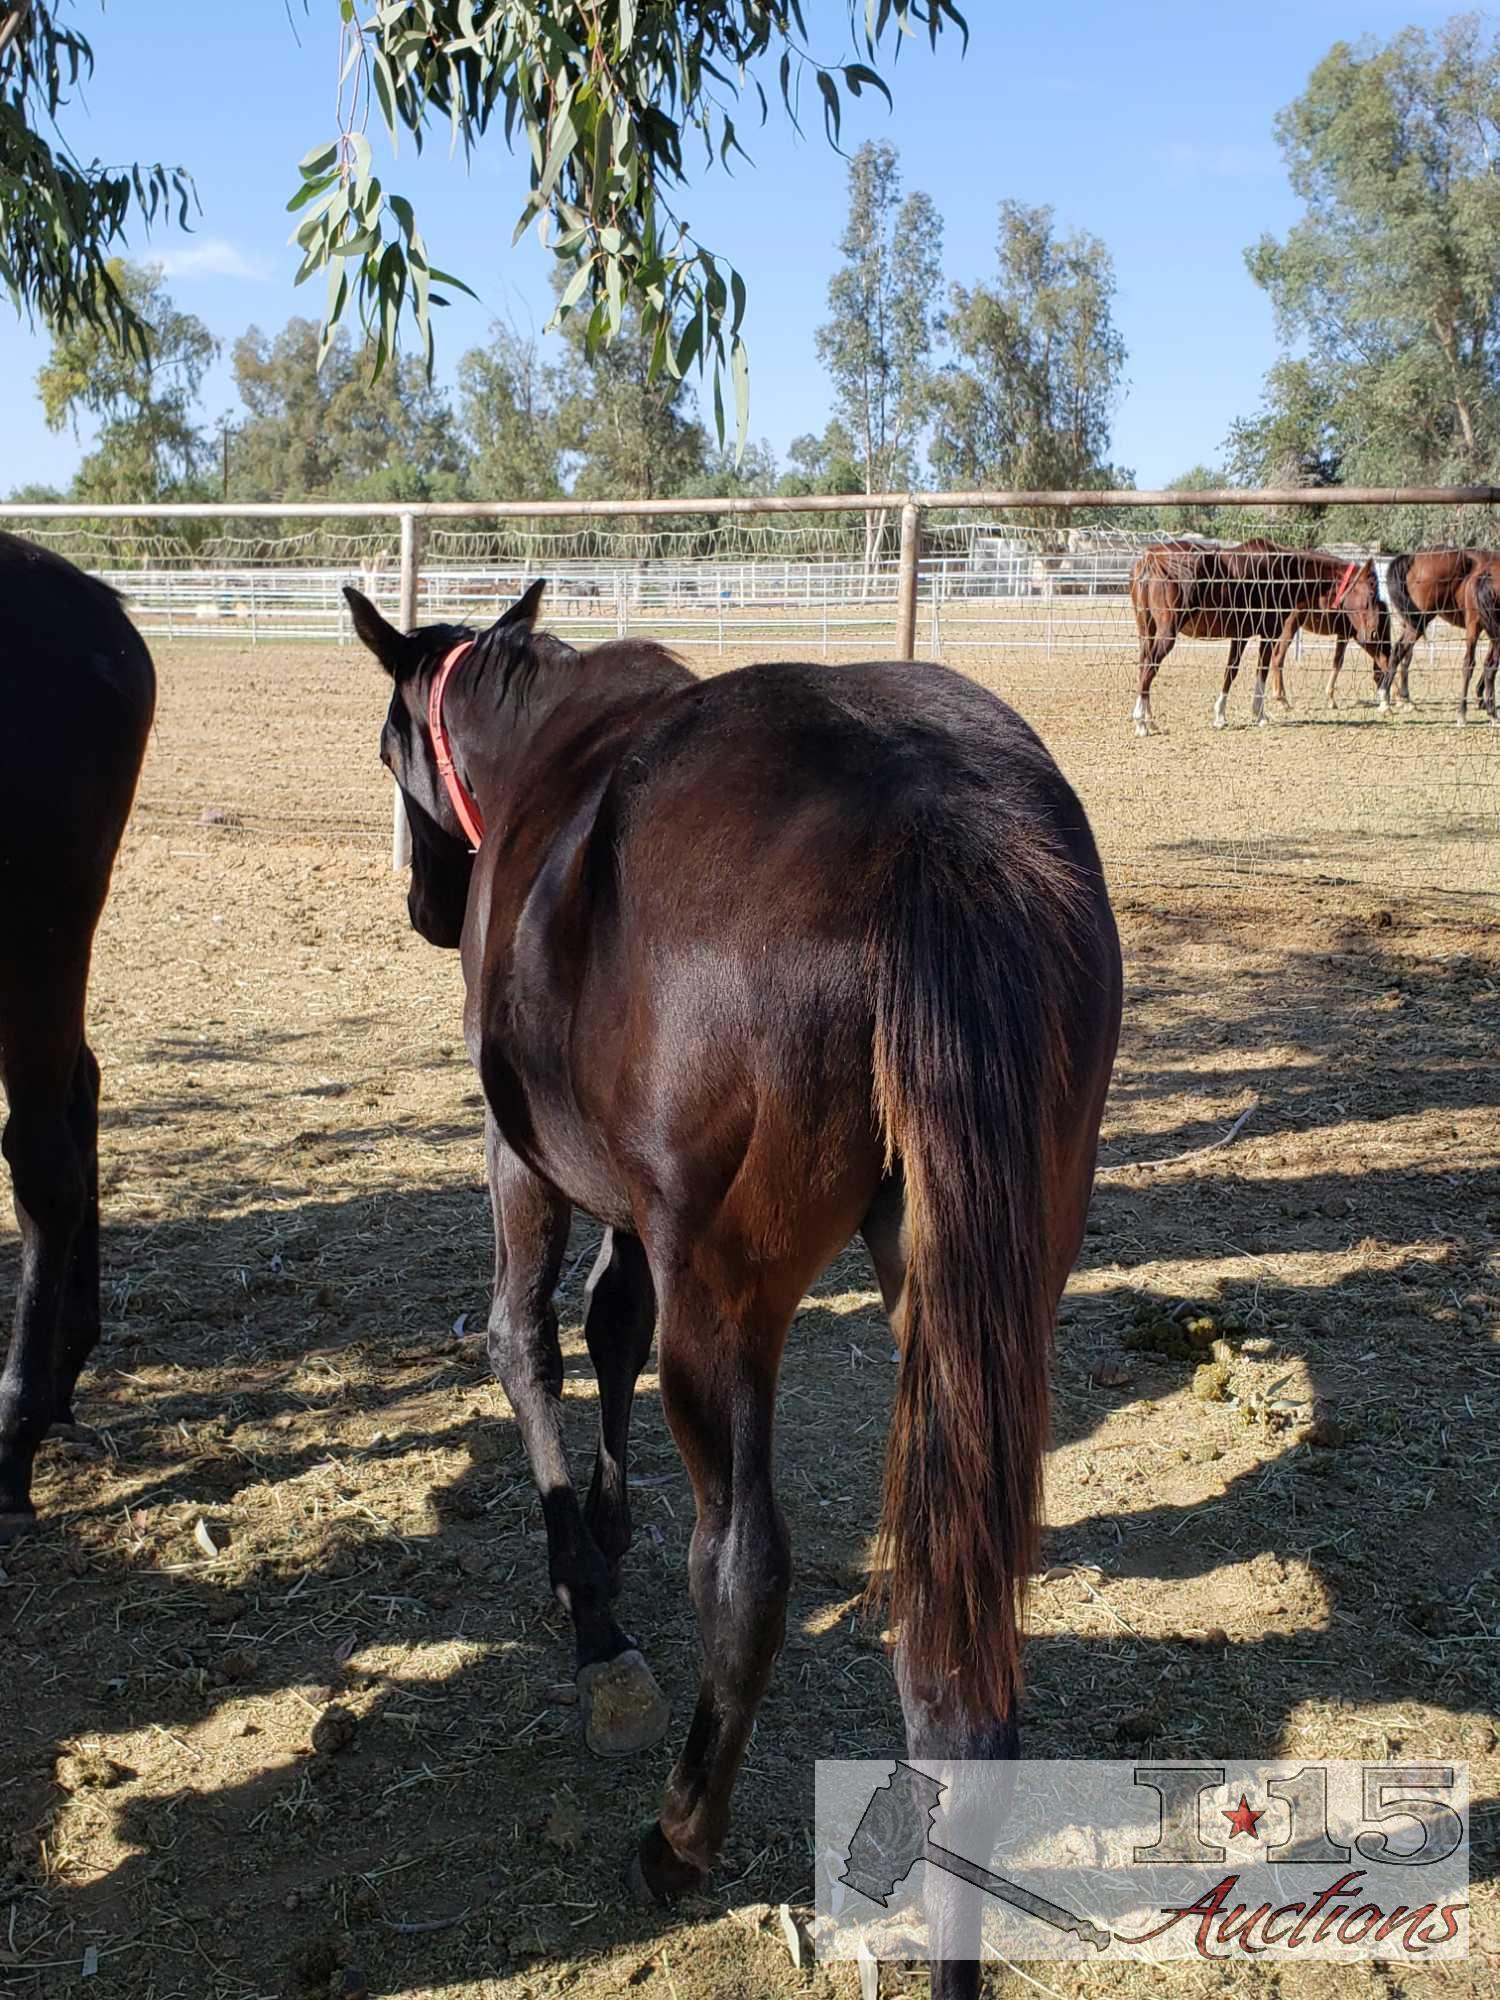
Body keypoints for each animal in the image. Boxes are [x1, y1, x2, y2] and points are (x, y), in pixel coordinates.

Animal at [346, 584, 1120, 2000]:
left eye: (390, 752)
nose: (429, 904)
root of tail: (931, 821)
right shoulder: (634, 1209)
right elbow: (611, 1326)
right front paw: (603, 1527)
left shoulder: (526, 1161)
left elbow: (528, 1344)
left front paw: (589, 1603)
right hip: (967, 1293)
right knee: (957, 1639)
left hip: (729, 1296)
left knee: (746, 1567)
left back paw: (681, 1834)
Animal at [1136, 544, 1392, 740]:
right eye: (1371, 593)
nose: (1372, 633)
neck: (1282, 573)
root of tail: (1150, 559)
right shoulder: (1269, 634)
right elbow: (1263, 669)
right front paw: (1260, 715)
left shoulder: (1240, 635)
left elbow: (1231, 672)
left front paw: (1220, 716)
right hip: (1166, 634)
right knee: (1149, 669)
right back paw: (1141, 723)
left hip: (1146, 633)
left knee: (1145, 667)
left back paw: (1150, 719)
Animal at [1384, 552, 1500, 724]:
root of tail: (1414, 557)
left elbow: (1488, 664)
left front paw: (1482, 699)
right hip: (1422, 620)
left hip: (1413, 622)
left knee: (1403, 653)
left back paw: (1398, 699)